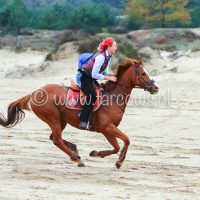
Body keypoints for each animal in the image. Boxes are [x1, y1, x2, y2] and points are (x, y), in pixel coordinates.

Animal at [0, 57, 159, 169]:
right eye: (143, 73)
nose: (156, 87)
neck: (113, 98)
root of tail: (34, 92)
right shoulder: (107, 128)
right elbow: (126, 140)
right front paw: (119, 161)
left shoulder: (108, 130)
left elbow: (117, 146)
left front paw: (97, 153)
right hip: (53, 119)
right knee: (57, 139)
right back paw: (77, 159)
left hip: (61, 121)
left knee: (54, 138)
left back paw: (74, 151)